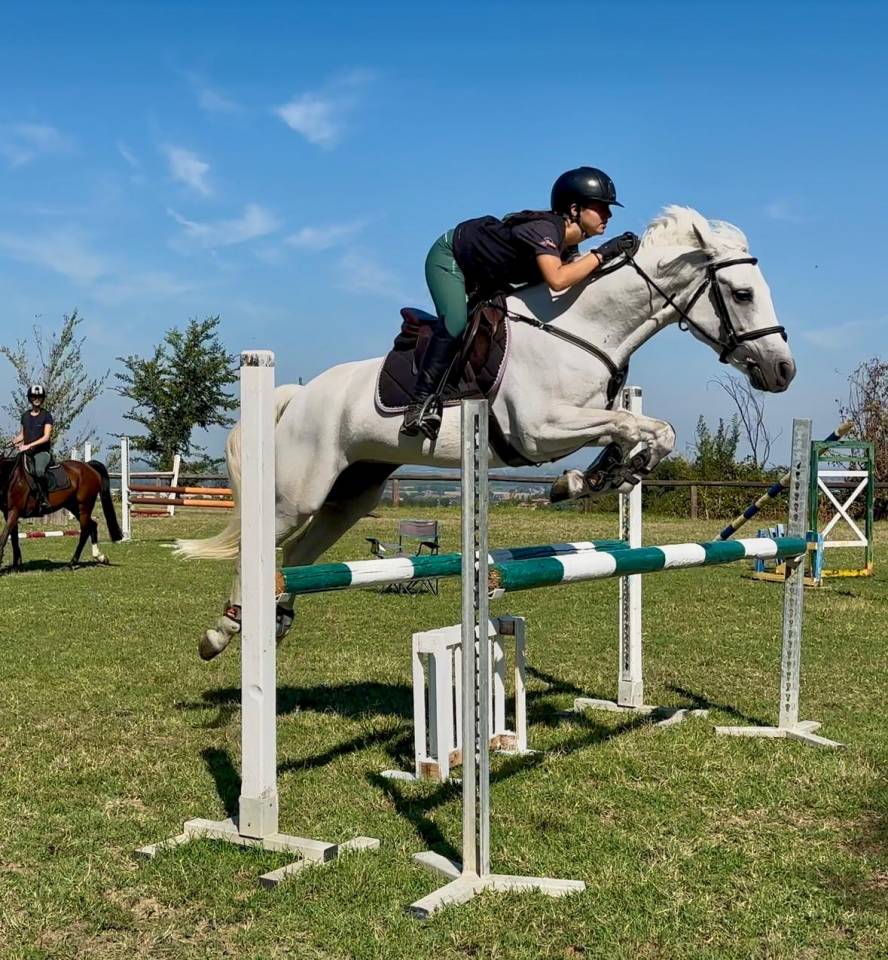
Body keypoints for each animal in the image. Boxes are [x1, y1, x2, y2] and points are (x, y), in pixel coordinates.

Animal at [176, 206, 797, 659]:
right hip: (296, 493)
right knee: (261, 549)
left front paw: (603, 476)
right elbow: (631, 425)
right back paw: (221, 632)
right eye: (742, 293)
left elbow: (650, 430)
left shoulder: (577, 422)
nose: (783, 371)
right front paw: (585, 480)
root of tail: (298, 394)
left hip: (350, 495)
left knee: (296, 556)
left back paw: (272, 618)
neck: (581, 326)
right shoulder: (540, 431)